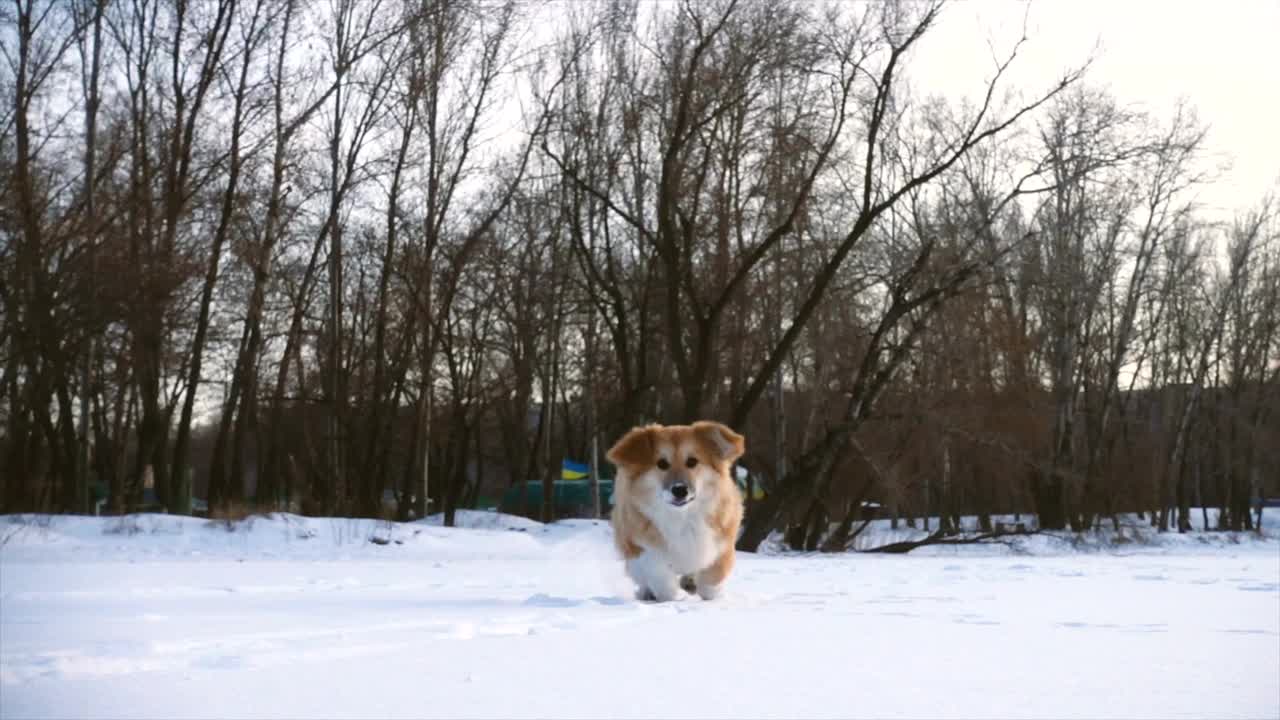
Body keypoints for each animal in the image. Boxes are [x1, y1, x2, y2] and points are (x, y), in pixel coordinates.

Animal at [604, 420, 747, 599]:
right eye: (662, 464)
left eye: (692, 461)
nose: (679, 489)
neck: (682, 517)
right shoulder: (639, 544)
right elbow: (658, 573)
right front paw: (675, 597)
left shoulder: (722, 542)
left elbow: (714, 574)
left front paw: (712, 596)